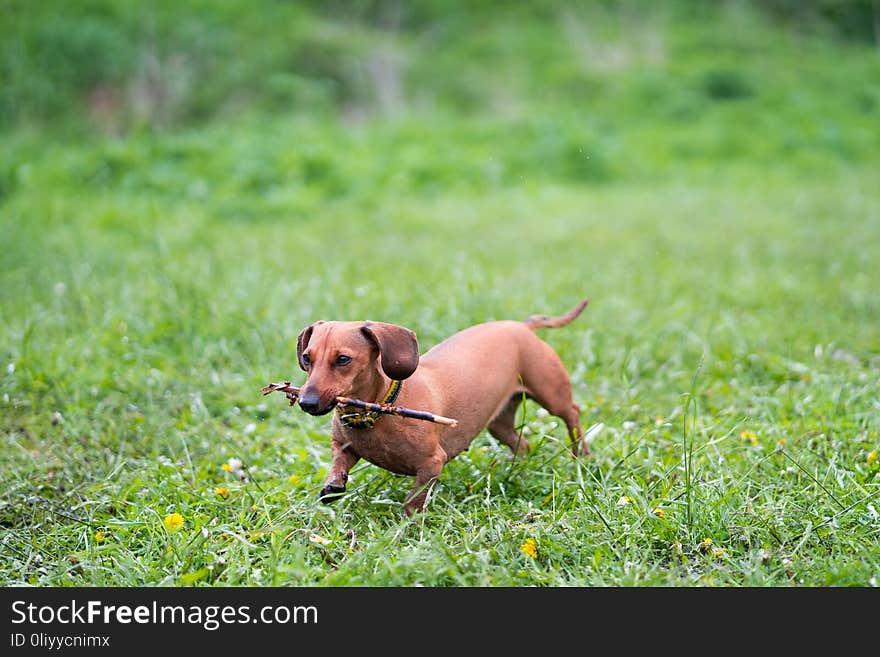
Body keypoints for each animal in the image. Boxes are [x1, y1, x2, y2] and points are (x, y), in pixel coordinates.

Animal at [296, 300, 592, 516]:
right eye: (307, 358)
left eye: (343, 359)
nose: (306, 403)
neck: (377, 410)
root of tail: (523, 326)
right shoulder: (343, 447)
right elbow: (339, 463)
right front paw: (333, 486)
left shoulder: (431, 464)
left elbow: (413, 501)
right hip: (498, 422)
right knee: (522, 443)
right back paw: (517, 469)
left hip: (552, 395)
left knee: (572, 414)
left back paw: (582, 455)